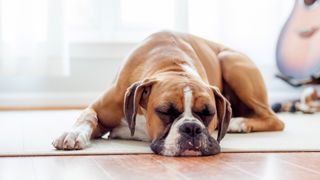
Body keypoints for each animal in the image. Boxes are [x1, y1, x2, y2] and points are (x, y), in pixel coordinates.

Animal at [52, 31, 284, 156]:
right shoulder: (100, 109)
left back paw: (239, 122)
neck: (173, 65)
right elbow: (88, 116)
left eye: (209, 113)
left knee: (275, 119)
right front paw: (73, 134)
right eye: (165, 111)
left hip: (230, 60)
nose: (191, 128)